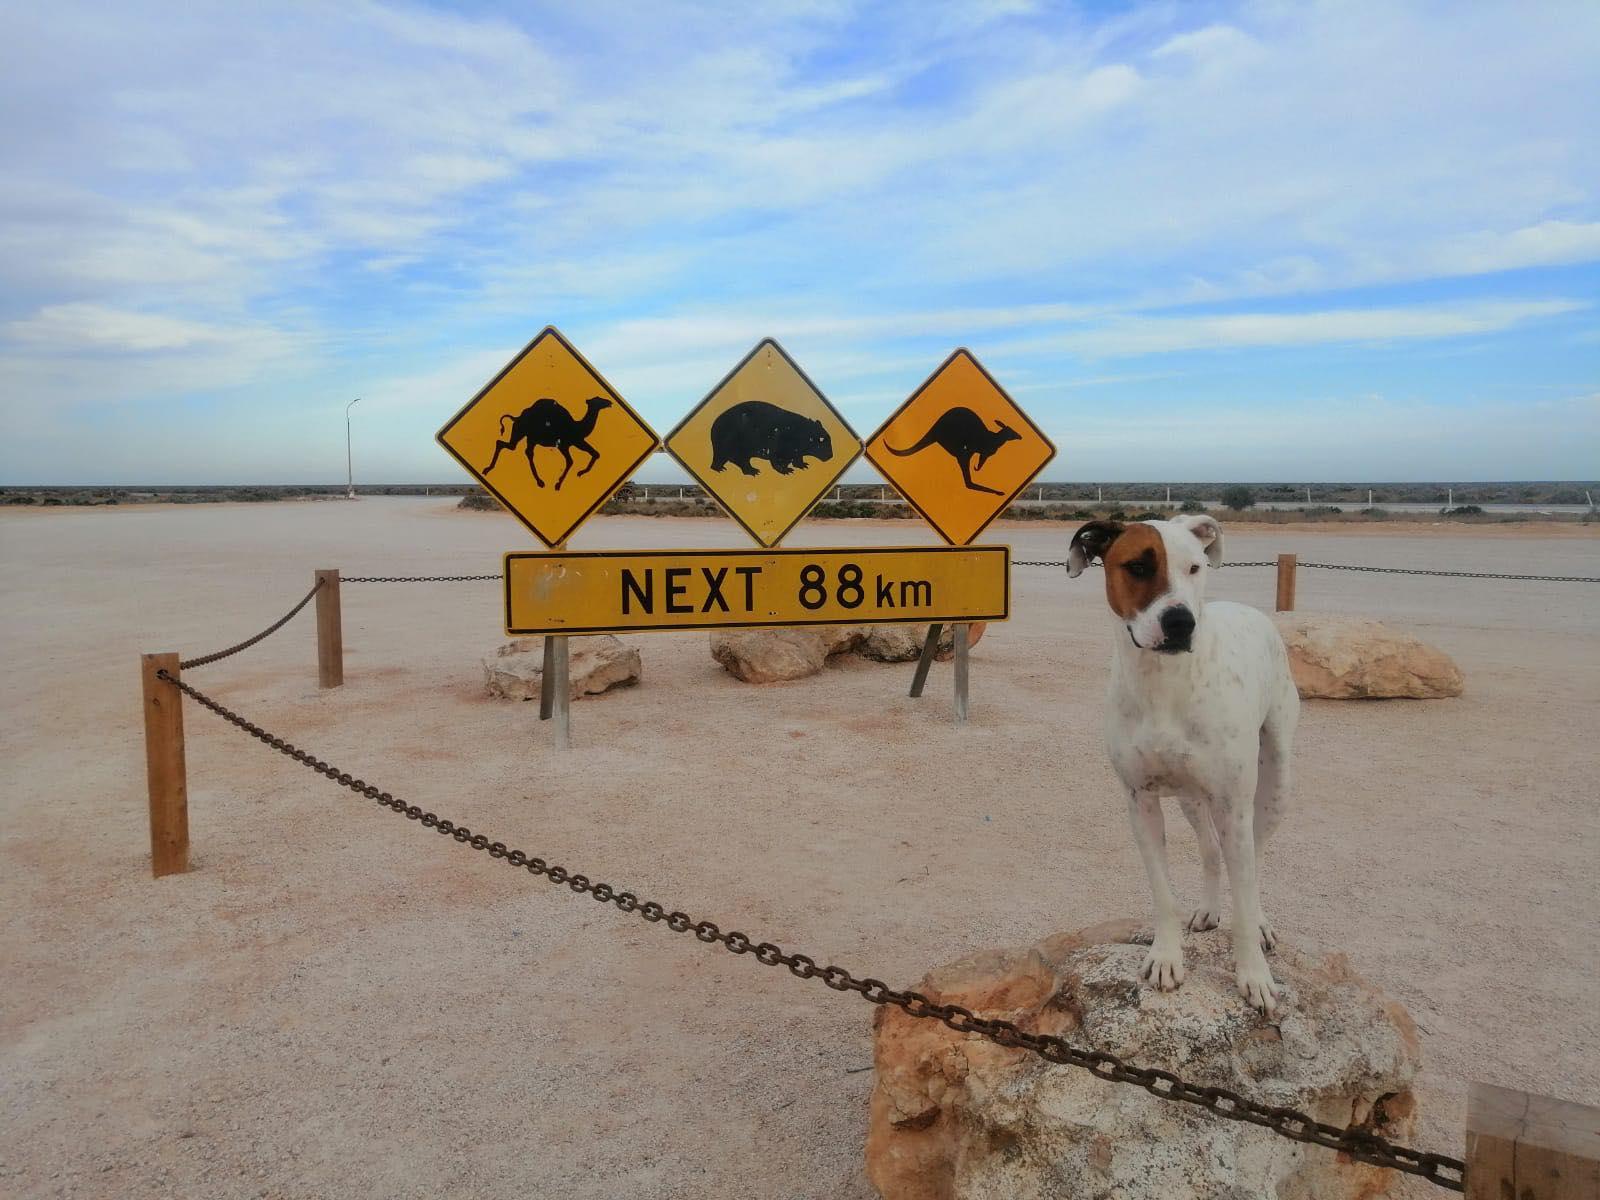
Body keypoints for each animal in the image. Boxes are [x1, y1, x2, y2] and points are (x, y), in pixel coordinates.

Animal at [1062, 518, 1299, 1017]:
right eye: (1137, 566)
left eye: (1195, 567)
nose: (1181, 621)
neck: (1162, 684)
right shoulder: (1142, 804)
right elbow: (1163, 893)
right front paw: (1166, 957)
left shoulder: (1234, 804)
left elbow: (1244, 892)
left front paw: (1253, 976)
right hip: (1192, 798)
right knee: (1211, 851)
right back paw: (1208, 909)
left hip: (1274, 785)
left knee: (1253, 857)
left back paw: (1260, 922)